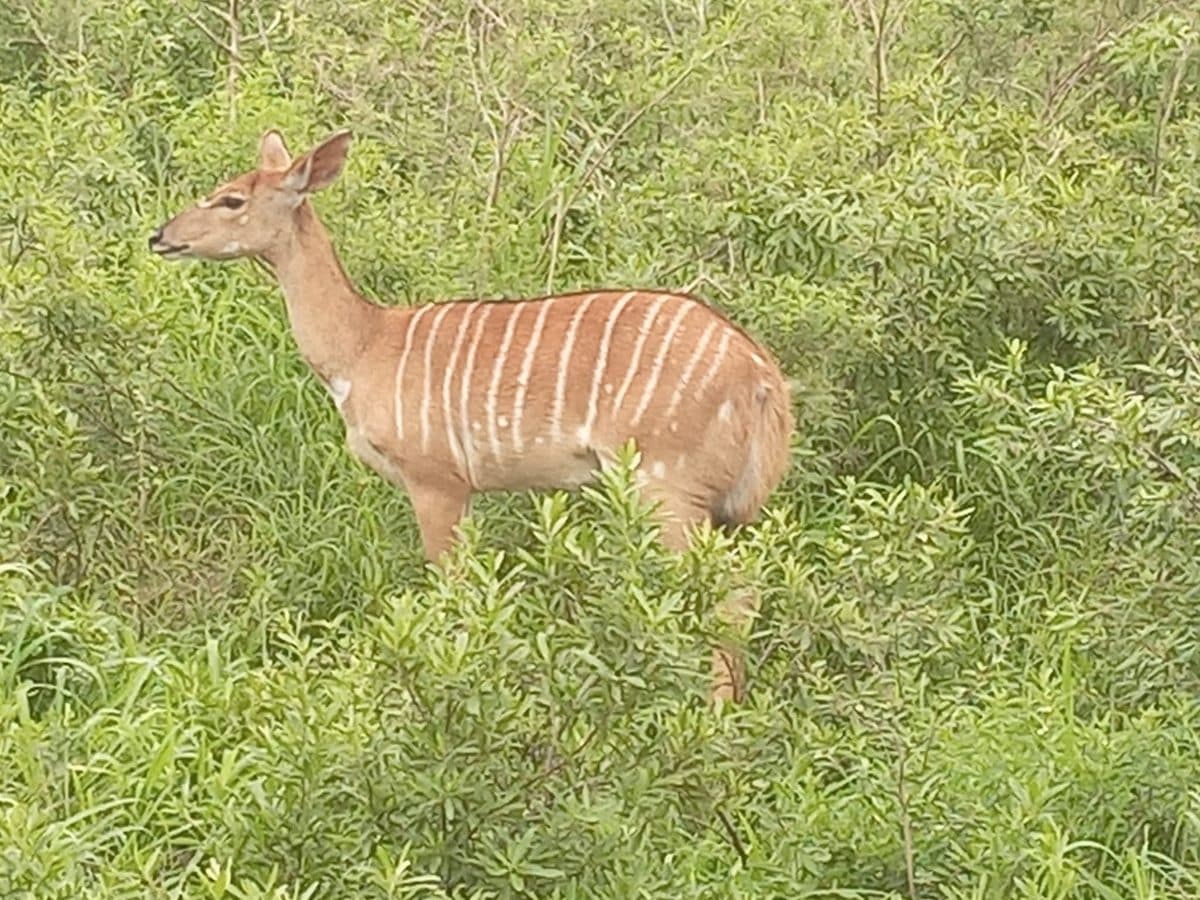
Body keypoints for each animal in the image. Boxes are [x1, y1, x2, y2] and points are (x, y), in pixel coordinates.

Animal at [149, 128, 794, 702]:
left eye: (232, 199)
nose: (160, 236)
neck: (363, 348)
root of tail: (762, 377)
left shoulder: (437, 478)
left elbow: (452, 590)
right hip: (722, 507)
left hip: (666, 487)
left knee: (725, 593)